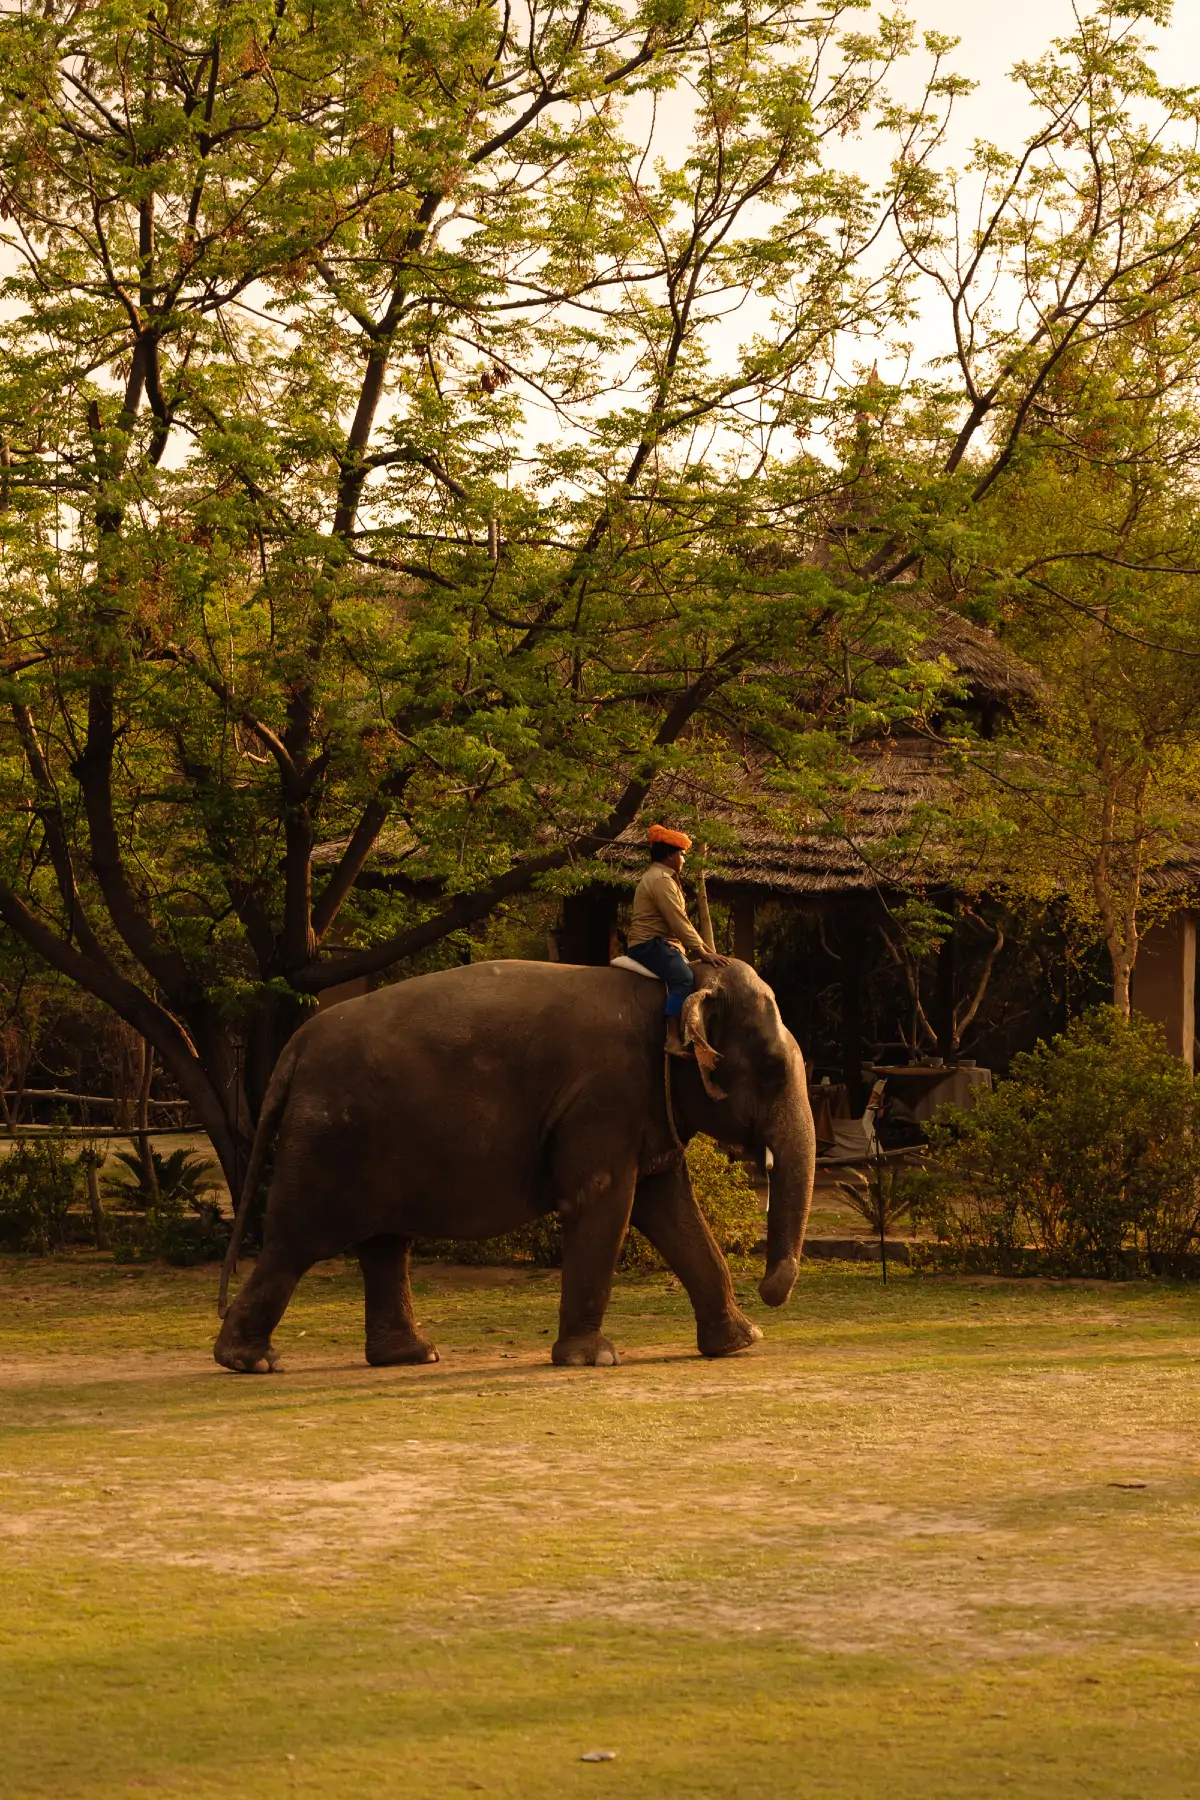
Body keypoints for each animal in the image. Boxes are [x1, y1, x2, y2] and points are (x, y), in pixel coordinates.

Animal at [213, 964, 816, 1368]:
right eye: (770, 1066)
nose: (771, 1289)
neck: (674, 986)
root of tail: (295, 1047)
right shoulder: (604, 1098)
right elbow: (605, 1201)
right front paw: (593, 1360)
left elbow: (667, 1207)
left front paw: (741, 1343)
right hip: (326, 1143)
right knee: (295, 1243)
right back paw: (249, 1362)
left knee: (384, 1245)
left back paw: (413, 1356)